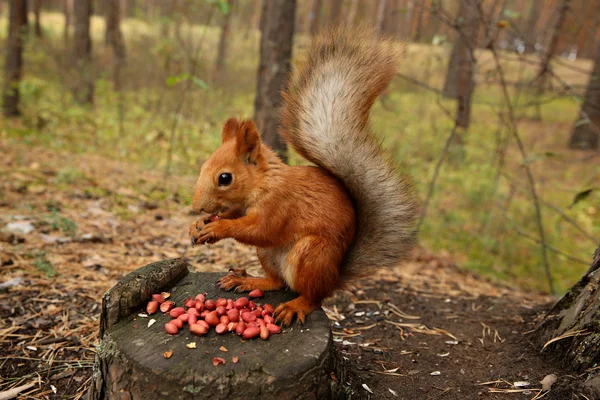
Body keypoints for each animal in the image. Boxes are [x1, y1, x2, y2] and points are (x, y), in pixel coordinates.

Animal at [190, 27, 420, 324]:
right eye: (203, 167)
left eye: (225, 178)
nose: (197, 207)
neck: (263, 182)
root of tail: (334, 276)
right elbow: (238, 217)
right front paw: (198, 225)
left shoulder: (280, 205)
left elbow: (259, 229)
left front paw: (217, 228)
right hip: (268, 254)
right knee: (278, 282)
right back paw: (249, 280)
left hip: (310, 255)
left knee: (312, 296)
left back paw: (294, 306)